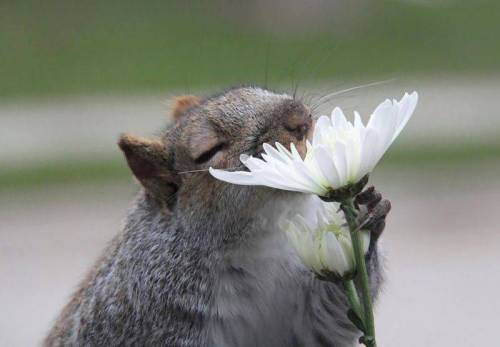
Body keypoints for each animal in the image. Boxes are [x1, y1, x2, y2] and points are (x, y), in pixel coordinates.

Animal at [46, 87, 390, 347]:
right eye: (210, 150)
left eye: (260, 90)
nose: (299, 117)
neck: (260, 242)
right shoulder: (151, 314)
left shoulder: (305, 313)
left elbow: (332, 315)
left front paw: (368, 213)